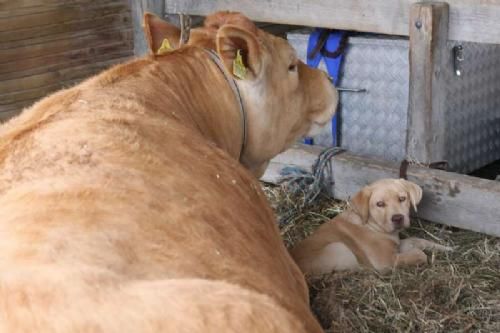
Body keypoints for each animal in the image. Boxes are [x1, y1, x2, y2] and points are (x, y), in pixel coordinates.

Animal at [292, 178, 452, 274]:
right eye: (380, 204)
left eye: (402, 198)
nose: (398, 218)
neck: (373, 225)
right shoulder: (386, 261)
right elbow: (419, 254)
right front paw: (425, 255)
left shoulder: (397, 245)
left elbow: (417, 240)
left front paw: (445, 248)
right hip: (340, 247)